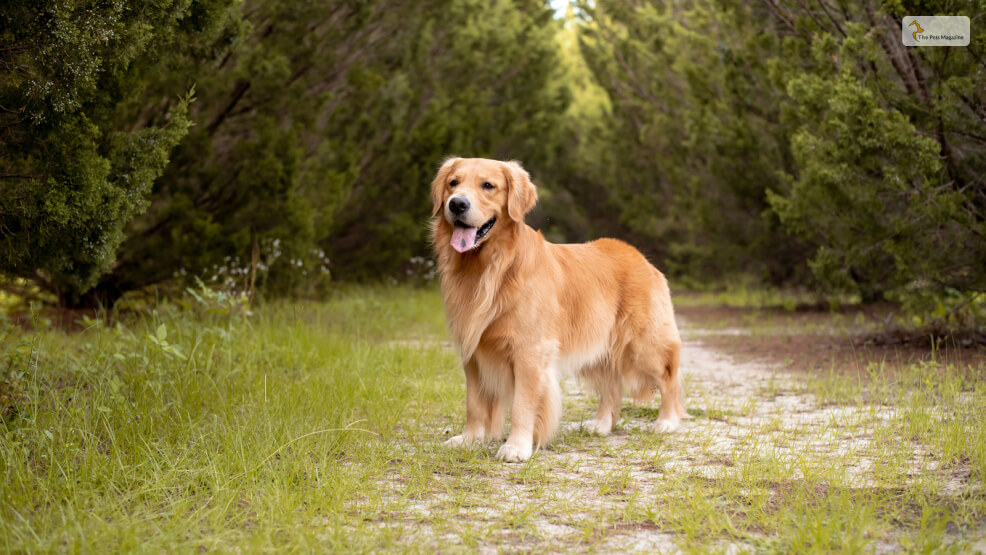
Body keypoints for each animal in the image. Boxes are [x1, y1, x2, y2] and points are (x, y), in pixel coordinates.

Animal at [430, 156, 684, 460]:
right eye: (453, 183)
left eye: (488, 185)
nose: (457, 204)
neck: (491, 267)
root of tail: (638, 255)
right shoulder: (474, 350)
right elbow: (474, 403)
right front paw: (469, 439)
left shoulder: (529, 350)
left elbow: (522, 406)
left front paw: (516, 447)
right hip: (598, 347)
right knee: (611, 386)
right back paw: (601, 424)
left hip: (644, 345)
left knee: (669, 377)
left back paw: (667, 421)